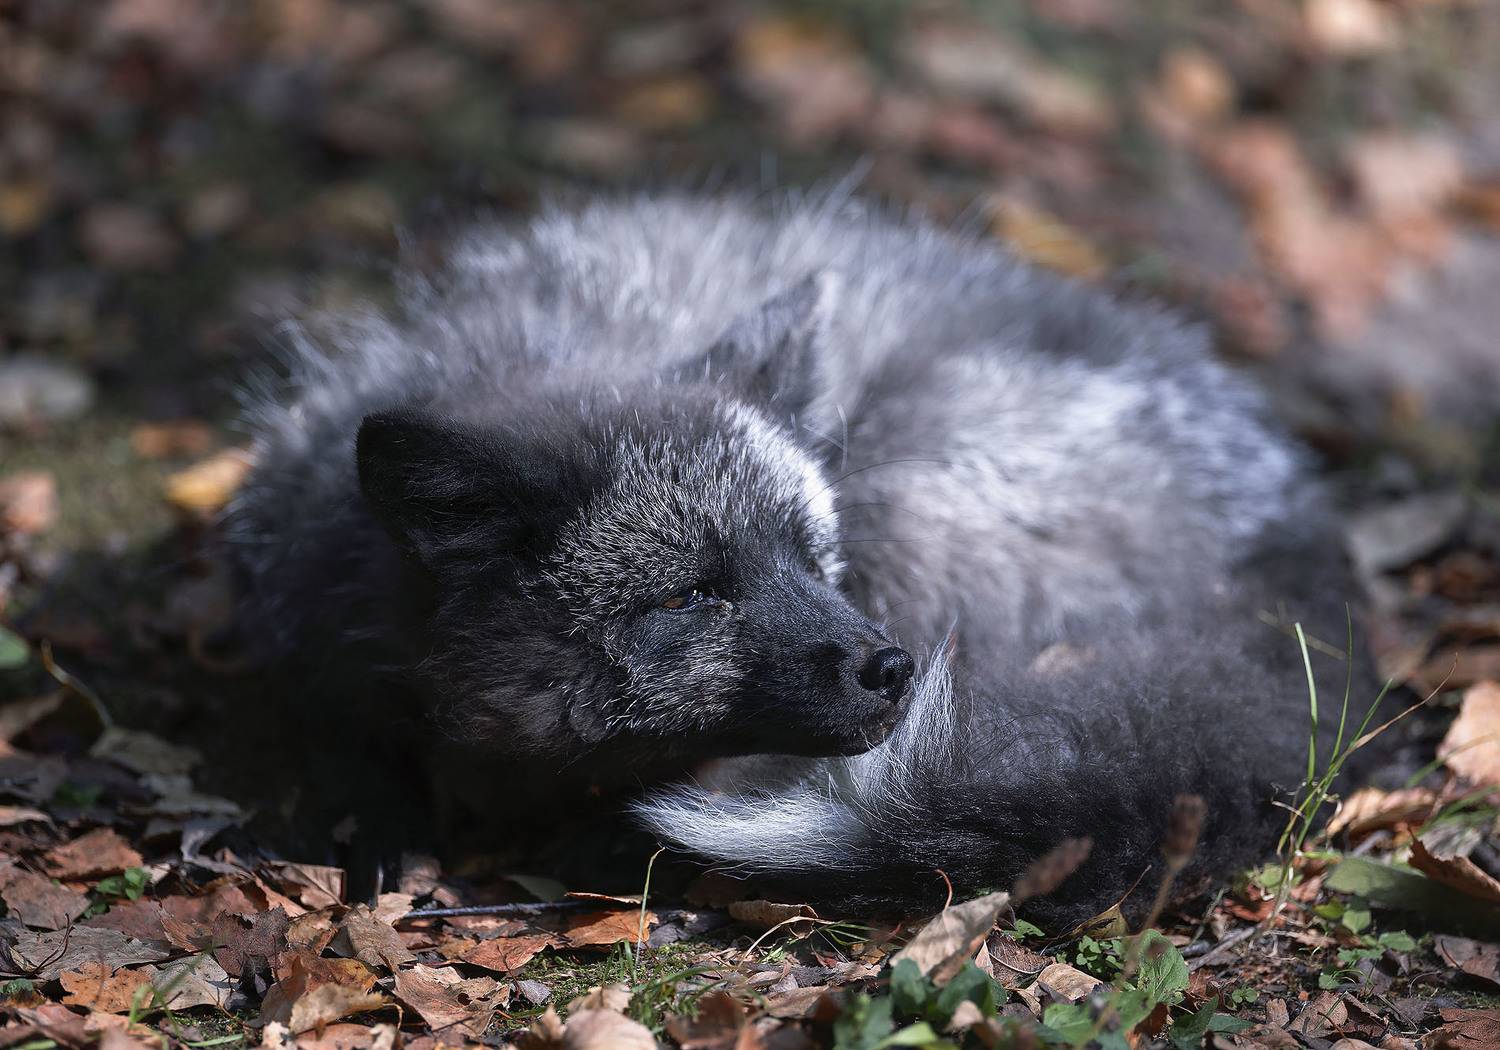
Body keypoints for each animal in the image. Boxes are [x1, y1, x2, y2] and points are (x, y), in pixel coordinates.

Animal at [226, 190, 1371, 925]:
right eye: (693, 596)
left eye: (817, 560)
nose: (892, 668)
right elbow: (342, 751)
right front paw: (368, 823)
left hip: (913, 488)